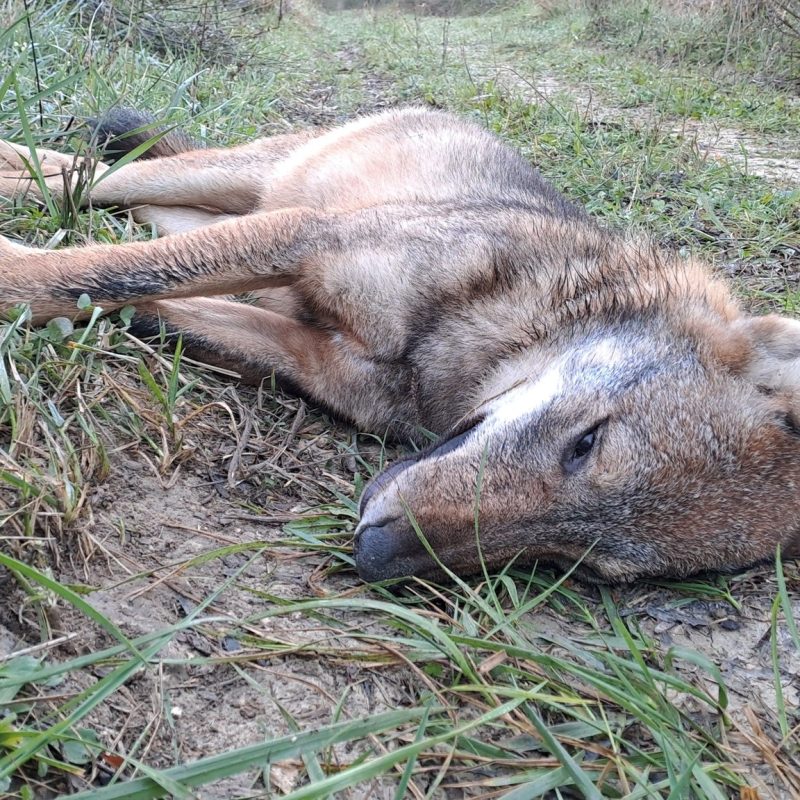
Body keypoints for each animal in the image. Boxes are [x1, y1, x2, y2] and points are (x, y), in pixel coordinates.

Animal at [1, 106, 800, 580]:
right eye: (587, 443)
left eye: (575, 561)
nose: (374, 552)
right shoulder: (308, 239)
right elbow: (92, 273)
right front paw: (16, 275)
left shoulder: (302, 347)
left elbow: (138, 300)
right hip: (247, 182)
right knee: (86, 177)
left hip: (216, 203)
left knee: (109, 192)